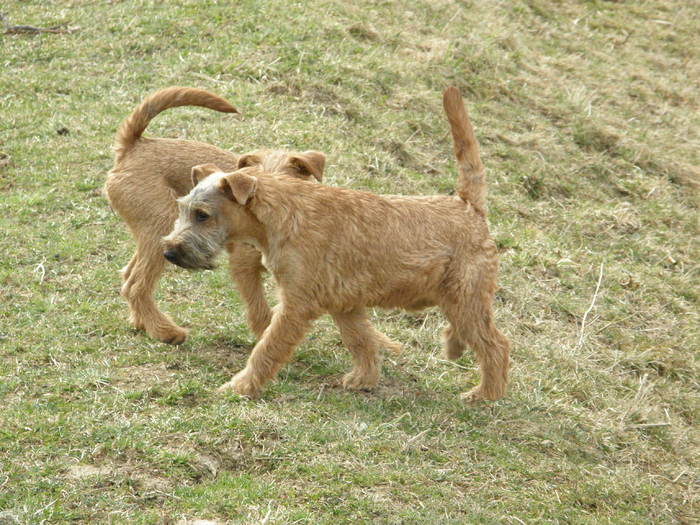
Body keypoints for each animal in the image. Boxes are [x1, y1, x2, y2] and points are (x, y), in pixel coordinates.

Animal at [104, 87, 328, 344]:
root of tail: (134, 145)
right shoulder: (243, 266)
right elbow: (260, 311)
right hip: (162, 226)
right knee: (136, 285)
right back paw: (165, 331)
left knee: (128, 276)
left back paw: (143, 323)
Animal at [167, 87, 512, 402]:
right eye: (182, 208)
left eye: (202, 215)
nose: (169, 251)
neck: (285, 213)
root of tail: (468, 206)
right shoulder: (345, 304)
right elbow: (361, 341)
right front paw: (364, 379)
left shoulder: (296, 305)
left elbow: (267, 348)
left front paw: (239, 387)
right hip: (456, 297)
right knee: (468, 332)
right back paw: (454, 349)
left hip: (466, 296)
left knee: (495, 345)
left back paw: (484, 394)